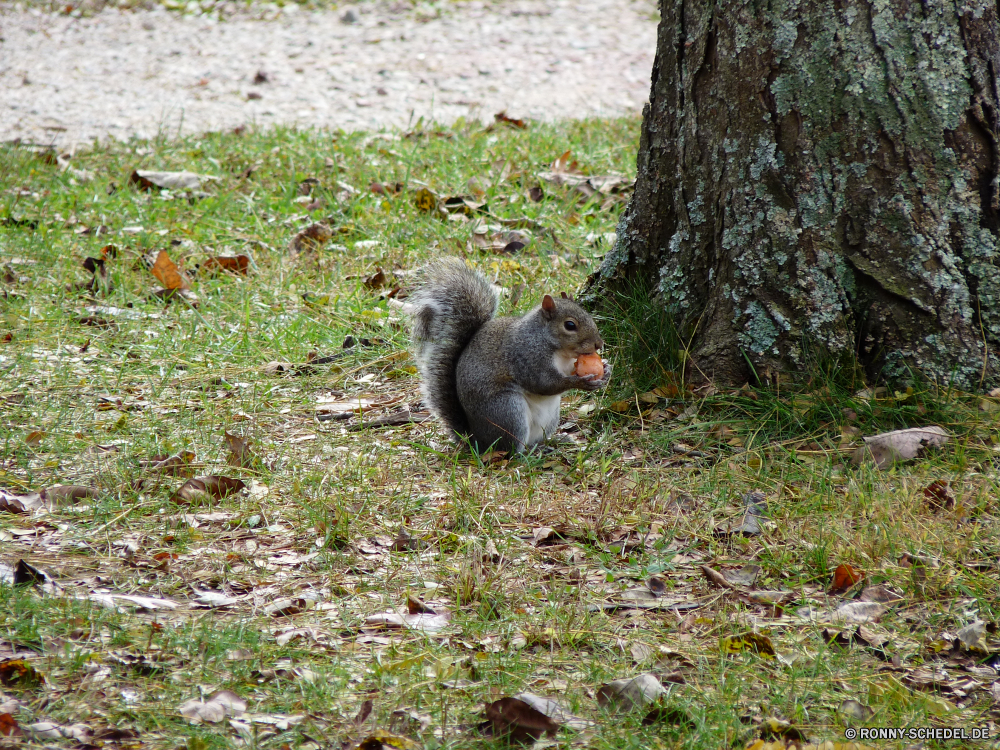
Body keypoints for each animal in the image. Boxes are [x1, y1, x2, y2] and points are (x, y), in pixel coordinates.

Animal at [408, 258, 608, 456]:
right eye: (570, 325)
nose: (598, 344)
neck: (558, 350)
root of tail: (477, 441)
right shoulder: (527, 357)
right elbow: (544, 384)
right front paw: (580, 382)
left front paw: (606, 368)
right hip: (507, 411)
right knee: (511, 449)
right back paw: (529, 453)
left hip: (549, 417)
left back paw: (551, 442)